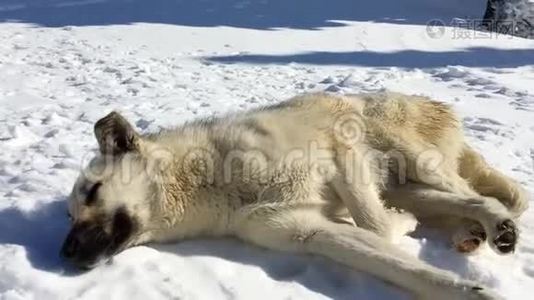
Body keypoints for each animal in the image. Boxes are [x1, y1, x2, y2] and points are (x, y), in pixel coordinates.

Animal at [60, 92, 528, 298]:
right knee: (470, 201)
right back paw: (476, 232)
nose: (64, 253)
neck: (212, 184)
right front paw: (468, 290)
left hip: (410, 157)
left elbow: (376, 224)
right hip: (410, 185)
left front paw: (398, 225)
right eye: (69, 215)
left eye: (93, 192)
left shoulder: (339, 149)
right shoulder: (310, 233)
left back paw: (488, 229)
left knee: (478, 193)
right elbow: (389, 256)